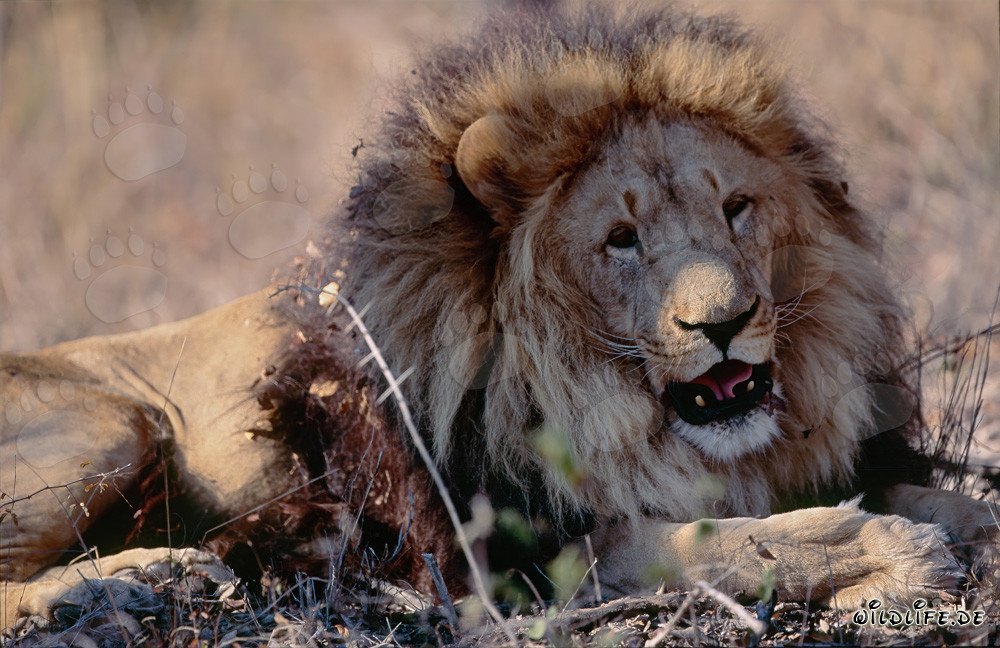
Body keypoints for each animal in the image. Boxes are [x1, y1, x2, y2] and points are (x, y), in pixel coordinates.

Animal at [2, 4, 997, 629]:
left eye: (737, 208)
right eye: (621, 239)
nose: (726, 321)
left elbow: (939, 497)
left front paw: (959, 526)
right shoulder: (521, 551)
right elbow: (721, 543)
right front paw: (894, 556)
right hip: (112, 424)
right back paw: (118, 584)